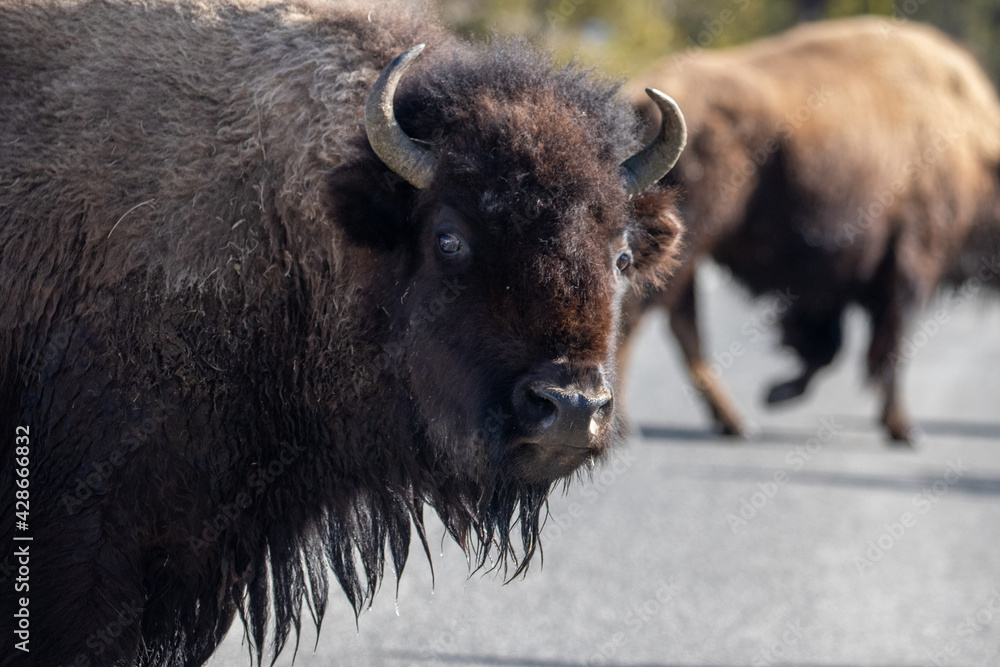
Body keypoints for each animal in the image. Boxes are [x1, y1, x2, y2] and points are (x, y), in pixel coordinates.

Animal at [625, 17, 1000, 443]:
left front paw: (778, 391)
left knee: (681, 323)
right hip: (691, 238)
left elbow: (828, 347)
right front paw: (903, 428)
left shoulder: (835, 284)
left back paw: (736, 422)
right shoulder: (911, 264)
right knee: (643, 316)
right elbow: (887, 344)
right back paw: (631, 425)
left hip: (688, 249)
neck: (974, 148)